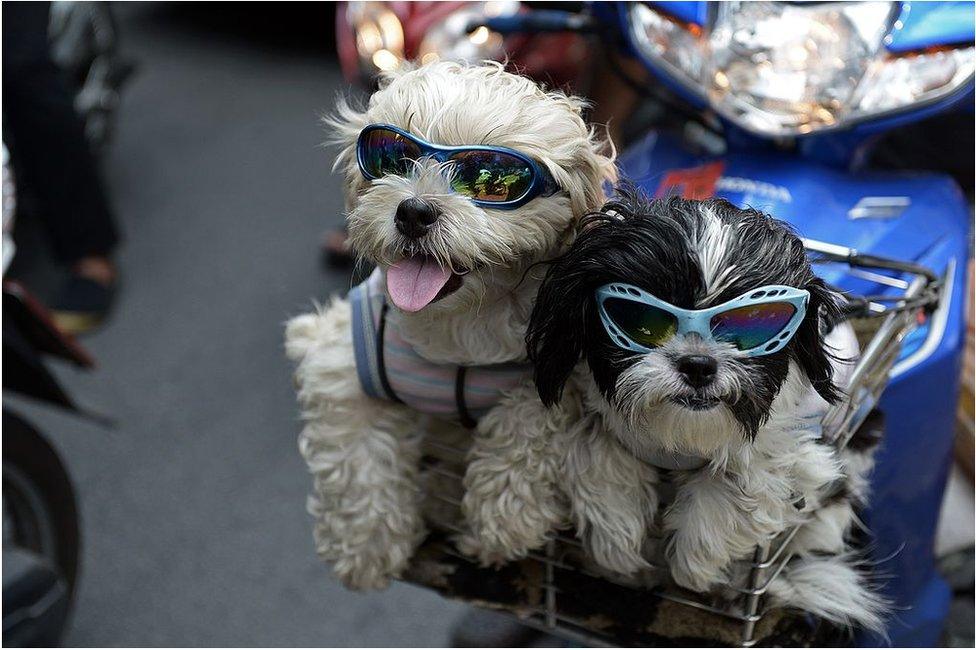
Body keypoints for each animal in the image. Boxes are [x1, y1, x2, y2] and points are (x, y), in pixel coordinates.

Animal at [286, 60, 612, 588]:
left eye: (491, 180)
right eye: (392, 158)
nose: (414, 210)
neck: (455, 331)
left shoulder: (558, 364)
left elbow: (525, 424)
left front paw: (503, 521)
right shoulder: (337, 357)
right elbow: (356, 456)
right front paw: (366, 546)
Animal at [462, 185, 888, 632]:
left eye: (752, 323)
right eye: (642, 321)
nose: (698, 364)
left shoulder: (802, 448)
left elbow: (746, 474)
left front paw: (695, 564)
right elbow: (597, 450)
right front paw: (619, 540)